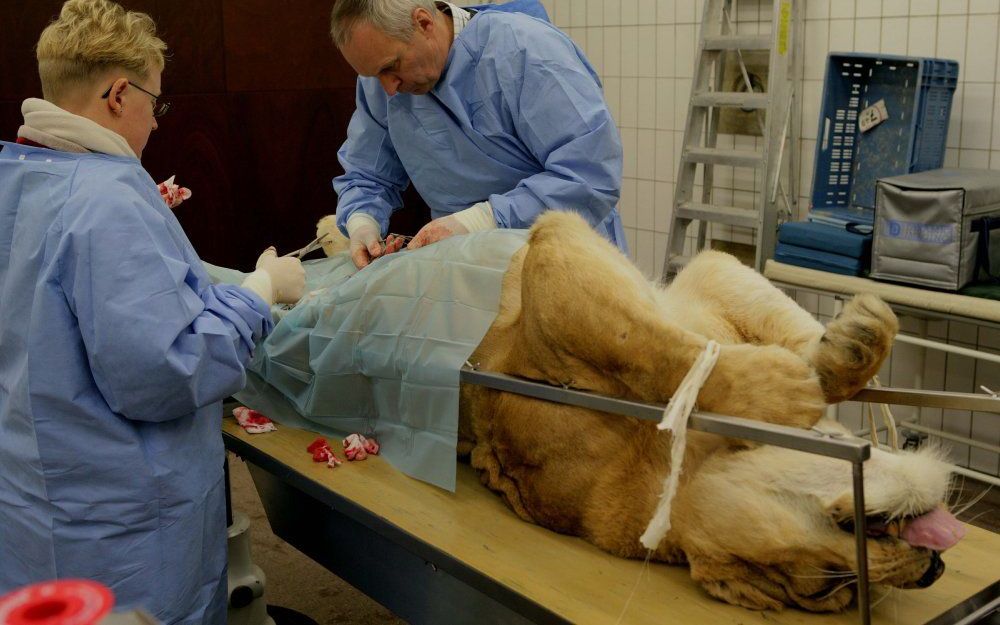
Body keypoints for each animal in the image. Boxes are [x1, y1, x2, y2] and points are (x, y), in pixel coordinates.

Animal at [458, 212, 964, 612]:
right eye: (824, 587)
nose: (934, 569)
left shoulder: (693, 272)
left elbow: (658, 331)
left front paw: (853, 340)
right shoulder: (555, 256)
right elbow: (646, 346)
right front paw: (784, 390)